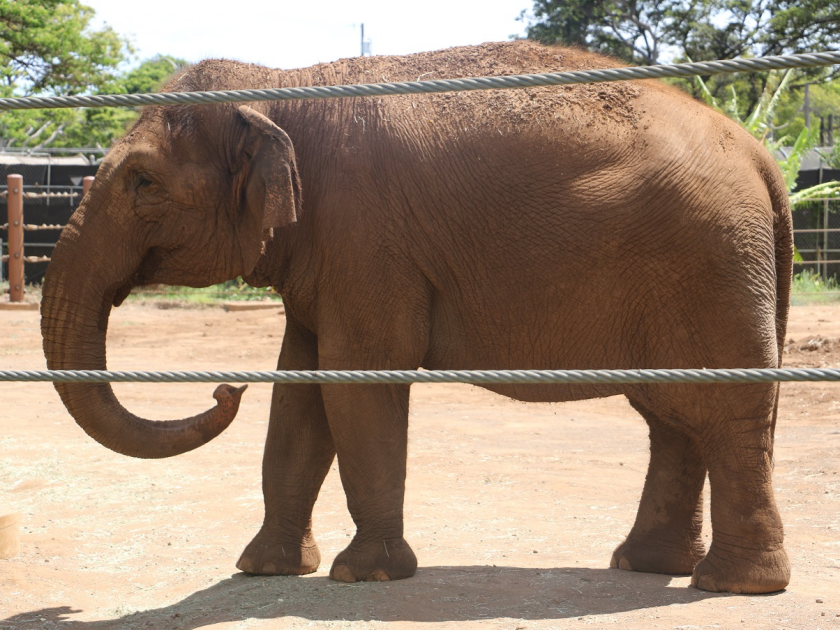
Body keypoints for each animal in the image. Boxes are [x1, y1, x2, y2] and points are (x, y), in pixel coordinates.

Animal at [41, 40, 796, 596]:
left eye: (142, 181)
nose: (227, 389)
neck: (284, 86)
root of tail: (761, 156)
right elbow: (300, 393)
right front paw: (263, 568)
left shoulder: (366, 237)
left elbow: (359, 379)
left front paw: (363, 576)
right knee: (673, 416)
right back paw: (647, 565)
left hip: (710, 265)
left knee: (721, 413)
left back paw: (733, 585)